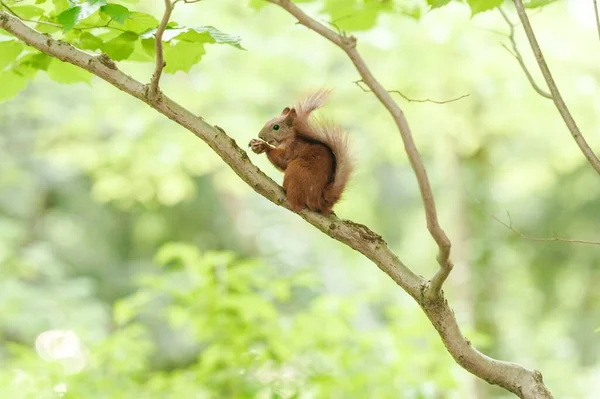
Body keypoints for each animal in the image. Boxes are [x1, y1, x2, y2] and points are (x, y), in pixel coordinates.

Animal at [247, 88, 352, 216]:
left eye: (276, 127)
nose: (260, 135)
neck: (289, 137)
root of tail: (319, 201)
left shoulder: (293, 148)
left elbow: (283, 160)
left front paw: (264, 146)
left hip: (297, 169)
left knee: (296, 203)